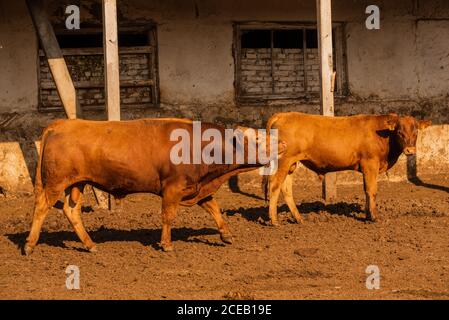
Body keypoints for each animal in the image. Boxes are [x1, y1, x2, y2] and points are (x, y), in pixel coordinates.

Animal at [24, 118, 282, 255]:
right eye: (257, 139)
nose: (282, 143)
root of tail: (60, 124)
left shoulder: (198, 188)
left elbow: (214, 209)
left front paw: (226, 234)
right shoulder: (172, 190)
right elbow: (168, 216)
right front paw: (166, 244)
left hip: (77, 184)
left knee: (71, 211)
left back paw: (90, 245)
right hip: (56, 183)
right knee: (41, 207)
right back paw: (29, 245)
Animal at [262, 112, 430, 225]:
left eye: (416, 132)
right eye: (400, 132)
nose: (410, 151)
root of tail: (283, 115)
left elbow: (366, 190)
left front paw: (368, 214)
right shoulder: (370, 163)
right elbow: (372, 190)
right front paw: (374, 217)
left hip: (291, 164)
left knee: (286, 188)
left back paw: (298, 218)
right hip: (283, 162)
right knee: (275, 186)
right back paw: (274, 220)